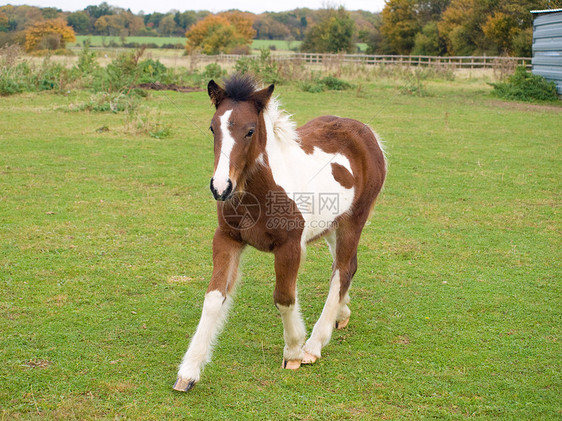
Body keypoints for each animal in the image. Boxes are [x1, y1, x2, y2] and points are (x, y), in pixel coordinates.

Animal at [175, 74, 384, 390]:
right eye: (213, 128)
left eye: (250, 131)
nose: (221, 188)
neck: (259, 193)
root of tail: (367, 132)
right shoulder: (227, 239)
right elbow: (213, 297)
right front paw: (189, 371)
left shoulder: (290, 246)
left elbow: (284, 297)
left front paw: (294, 351)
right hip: (332, 224)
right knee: (345, 266)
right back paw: (342, 314)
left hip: (354, 220)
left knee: (343, 270)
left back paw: (314, 345)